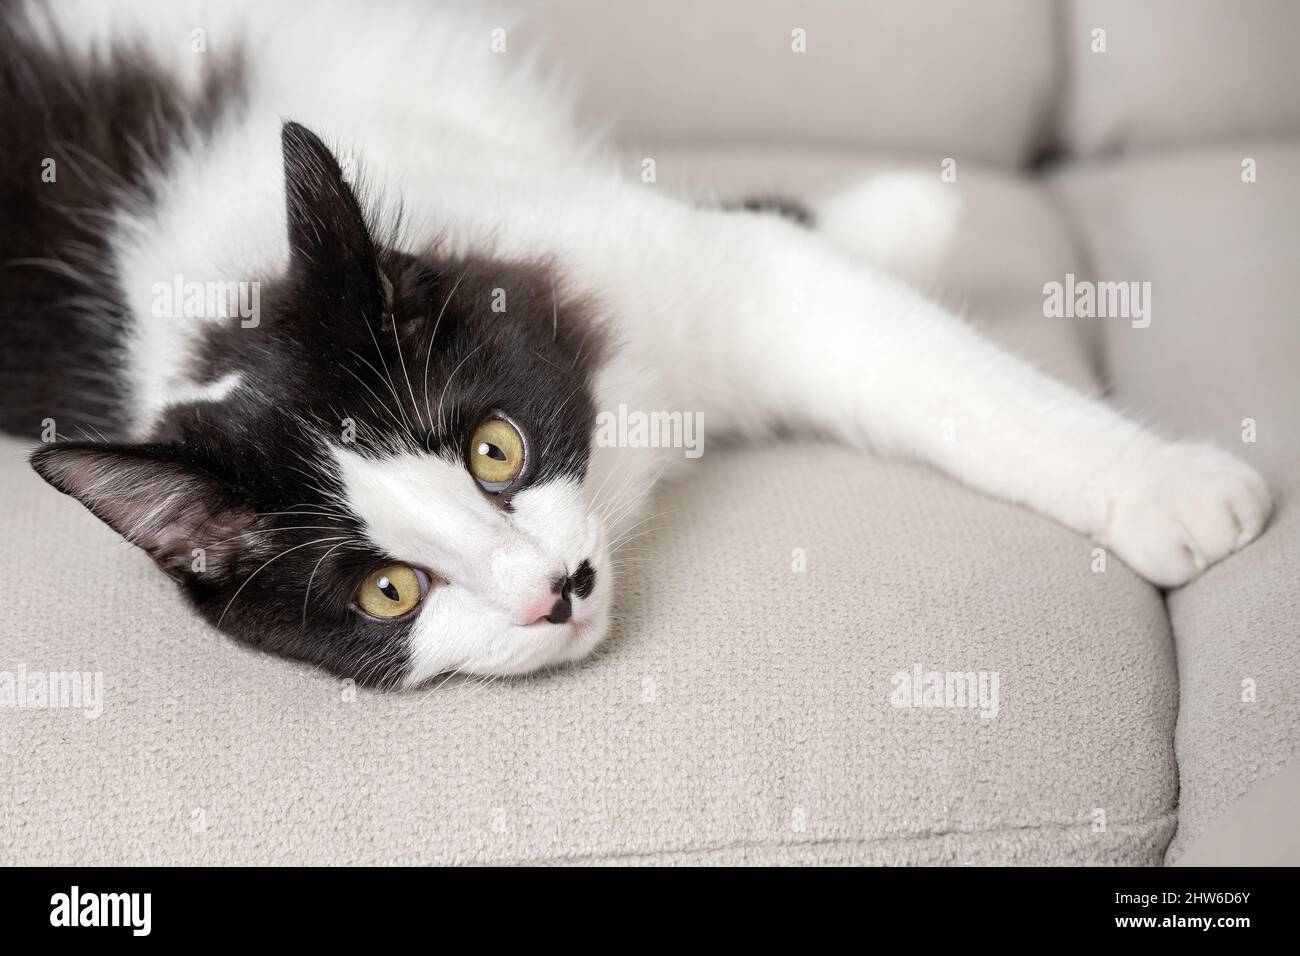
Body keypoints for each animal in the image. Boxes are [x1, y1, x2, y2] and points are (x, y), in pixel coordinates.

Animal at [2, 0, 1268, 686]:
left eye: (495, 449)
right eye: (388, 590)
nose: (551, 592)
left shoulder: (610, 245)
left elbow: (932, 363)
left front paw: (1168, 483)